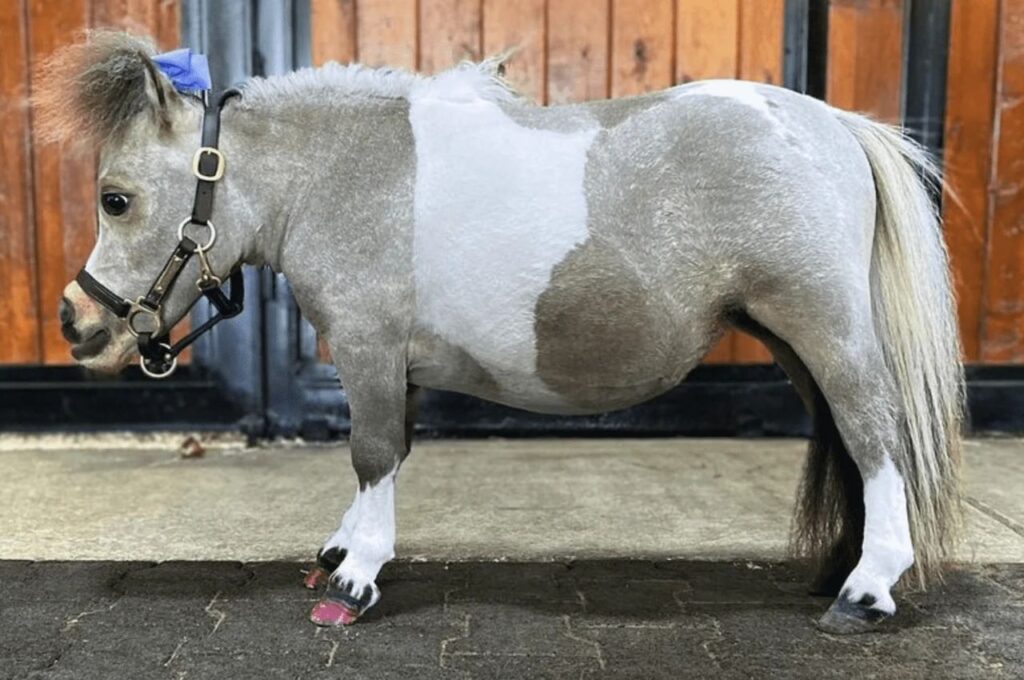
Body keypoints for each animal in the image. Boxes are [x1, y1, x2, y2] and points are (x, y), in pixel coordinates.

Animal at [40, 32, 963, 634]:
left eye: (116, 198)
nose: (76, 322)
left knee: (874, 435)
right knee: (848, 439)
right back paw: (841, 569)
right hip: (792, 339)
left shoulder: (370, 349)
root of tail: (833, 125)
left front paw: (356, 579)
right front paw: (342, 550)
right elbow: (389, 453)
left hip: (823, 325)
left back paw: (867, 591)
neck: (342, 176)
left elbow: (372, 455)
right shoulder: (395, 366)